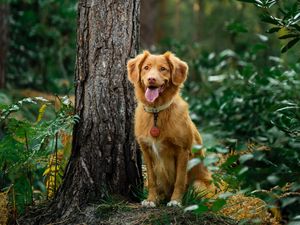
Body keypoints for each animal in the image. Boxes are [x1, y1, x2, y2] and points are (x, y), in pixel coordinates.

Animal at [126, 51, 213, 207]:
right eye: (146, 67)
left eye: (163, 69)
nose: (151, 79)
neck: (156, 112)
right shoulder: (146, 151)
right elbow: (152, 180)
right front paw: (151, 199)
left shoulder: (183, 151)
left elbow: (180, 179)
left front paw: (175, 201)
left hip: (198, 185)